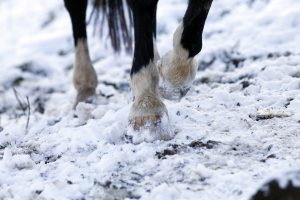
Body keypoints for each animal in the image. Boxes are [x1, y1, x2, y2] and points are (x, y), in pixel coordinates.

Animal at [63, 0, 213, 139]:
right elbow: (144, 5)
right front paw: (147, 107)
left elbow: (192, 39)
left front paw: (172, 80)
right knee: (76, 6)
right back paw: (85, 85)